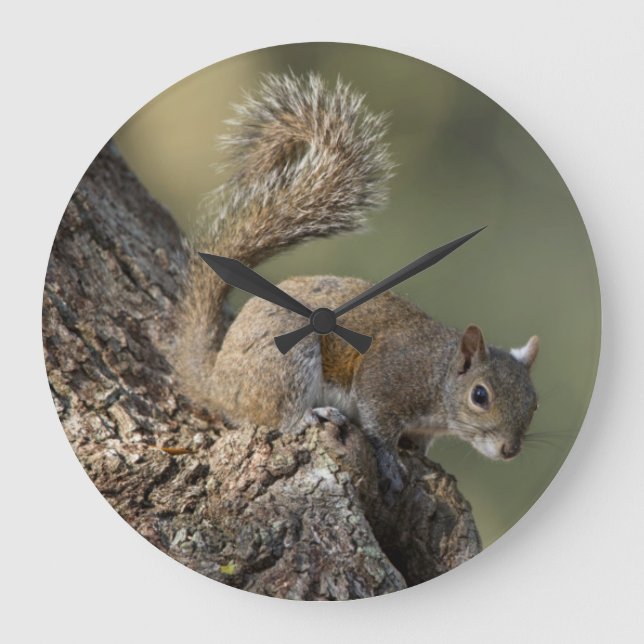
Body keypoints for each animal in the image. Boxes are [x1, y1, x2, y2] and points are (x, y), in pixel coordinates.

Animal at [175, 72, 540, 497]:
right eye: (480, 396)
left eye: (534, 402)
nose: (510, 449)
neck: (438, 374)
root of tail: (216, 382)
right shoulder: (386, 379)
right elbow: (379, 426)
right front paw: (392, 462)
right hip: (286, 363)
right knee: (277, 415)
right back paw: (310, 415)